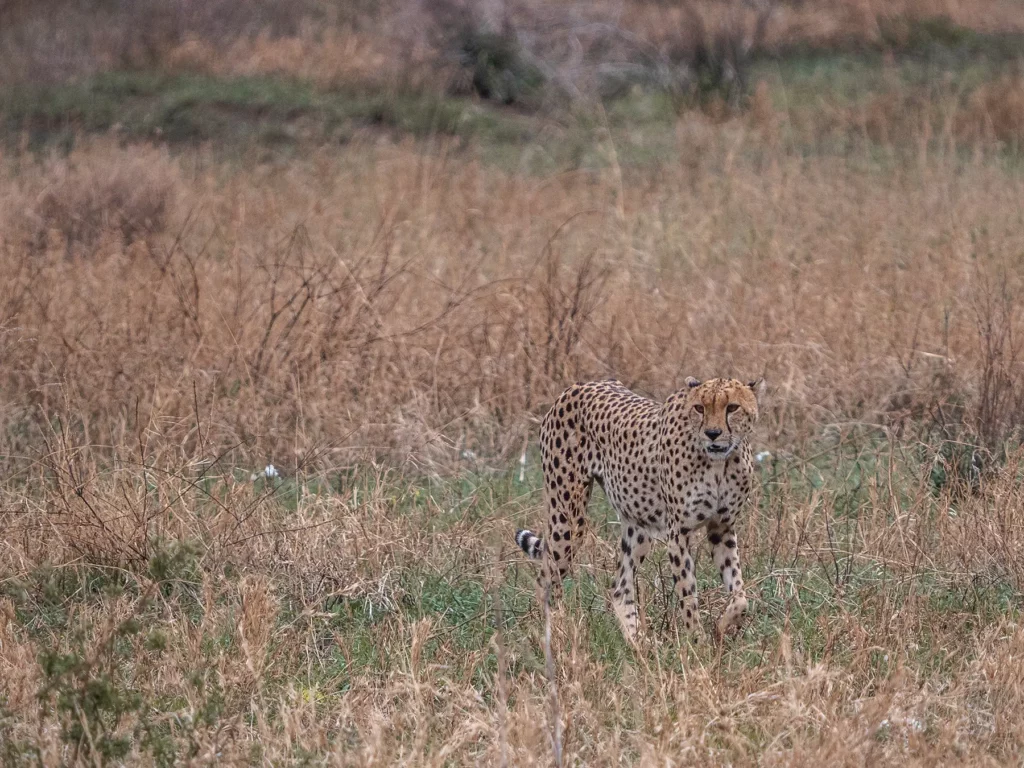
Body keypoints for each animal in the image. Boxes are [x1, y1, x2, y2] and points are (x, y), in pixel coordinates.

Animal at [515, 376, 765, 642]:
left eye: (732, 407)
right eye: (699, 408)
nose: (713, 434)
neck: (718, 463)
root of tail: (579, 385)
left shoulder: (722, 527)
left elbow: (740, 597)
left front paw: (722, 627)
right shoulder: (678, 533)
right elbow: (687, 594)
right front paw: (696, 641)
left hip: (639, 527)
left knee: (619, 587)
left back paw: (638, 641)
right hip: (569, 521)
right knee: (545, 578)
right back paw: (555, 628)